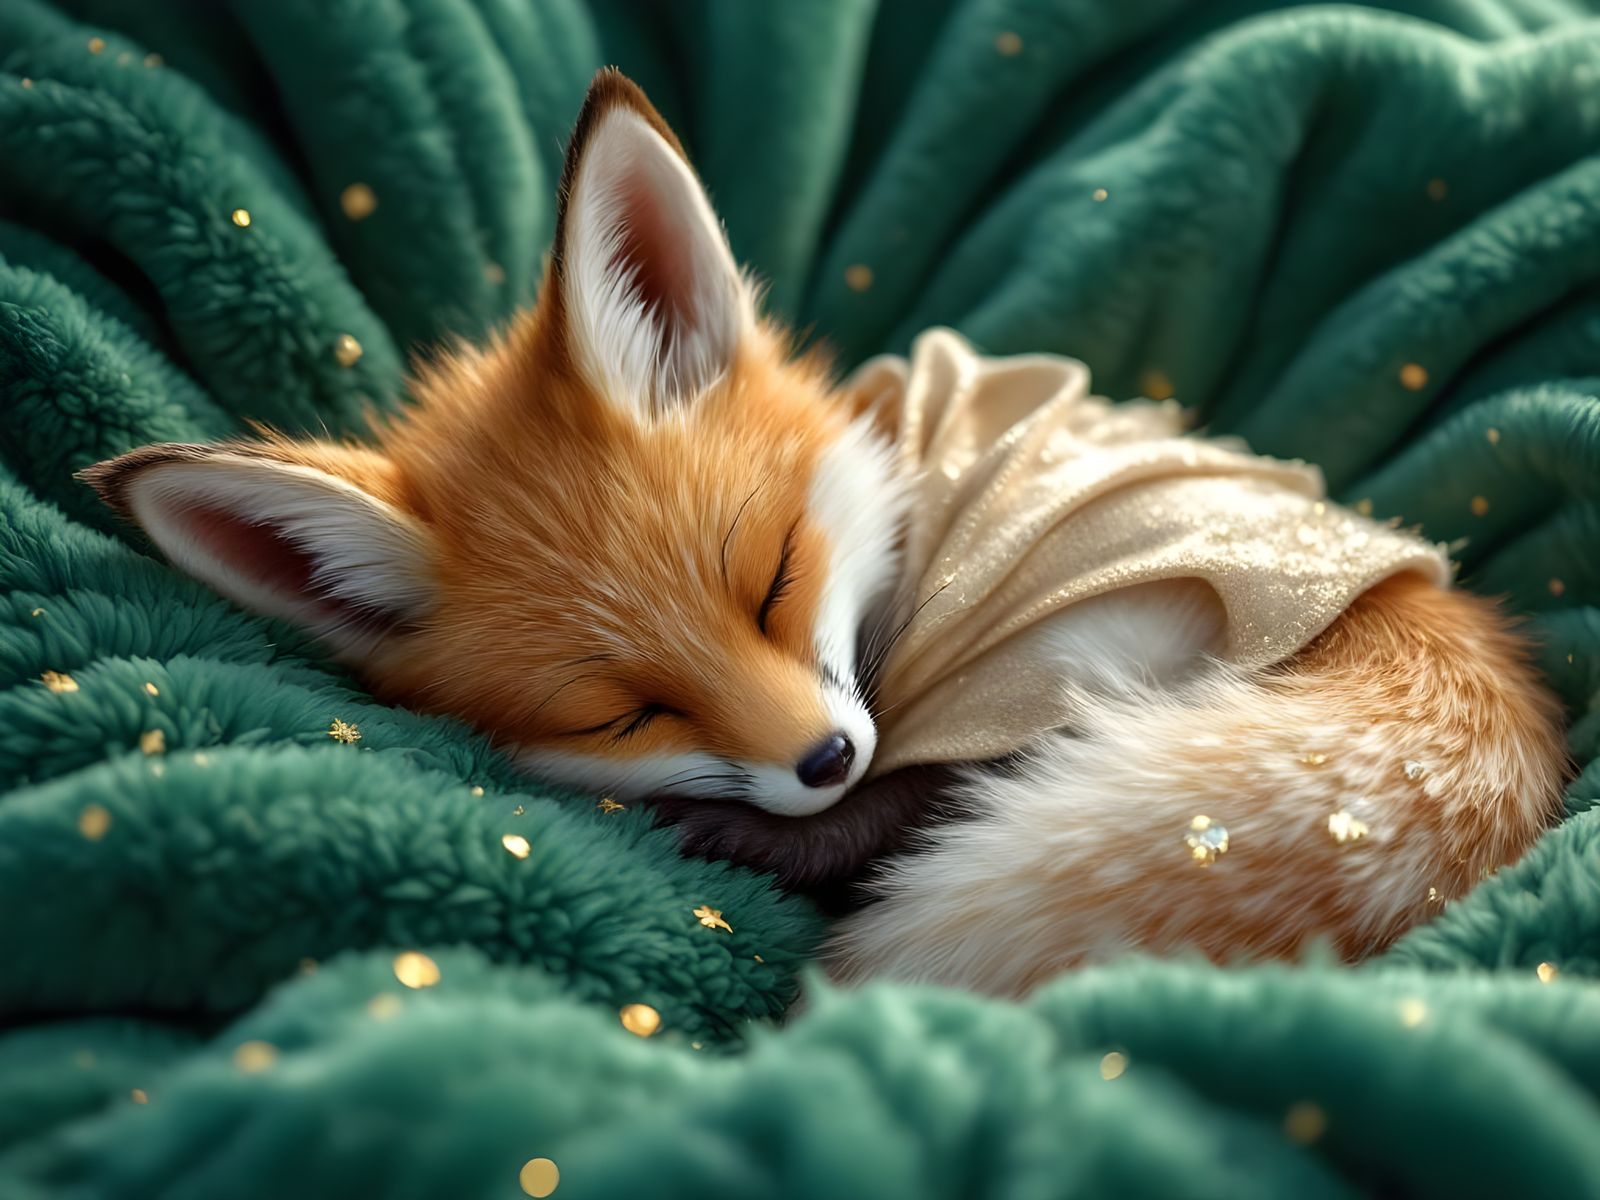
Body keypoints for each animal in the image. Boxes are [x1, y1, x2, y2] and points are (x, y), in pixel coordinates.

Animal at [84, 69, 1568, 996]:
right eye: (620, 715)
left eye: (774, 581)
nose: (820, 757)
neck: (890, 453)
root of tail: (1422, 610)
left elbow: (872, 821)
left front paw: (767, 829)